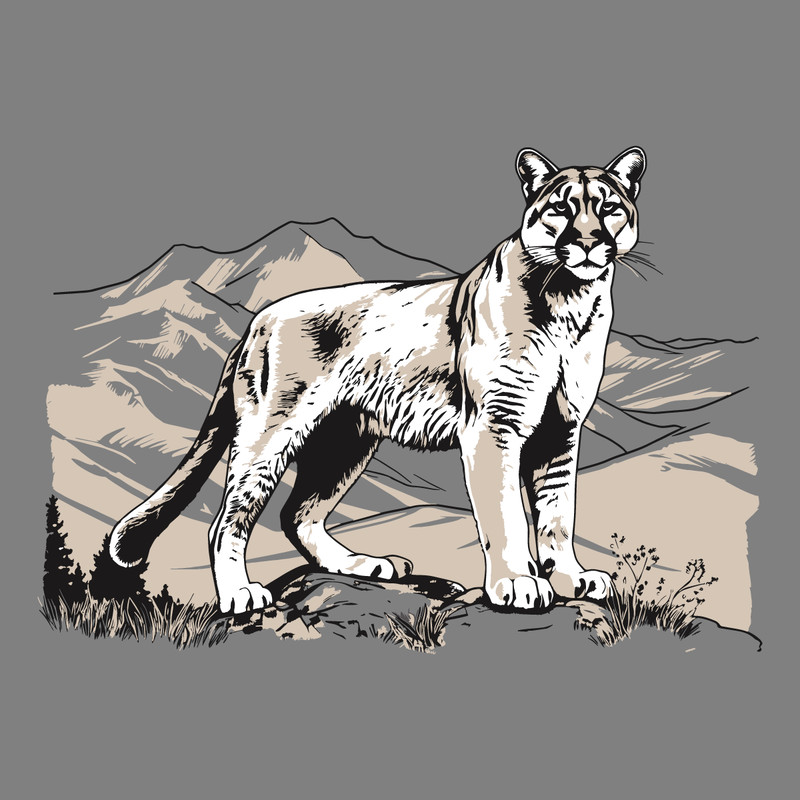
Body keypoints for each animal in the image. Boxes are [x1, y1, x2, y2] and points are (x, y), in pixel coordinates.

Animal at [110, 146, 646, 614]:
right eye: (561, 208)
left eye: (609, 208)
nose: (588, 242)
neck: (571, 302)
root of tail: (259, 318)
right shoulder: (495, 425)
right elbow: (506, 514)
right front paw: (516, 583)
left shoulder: (560, 429)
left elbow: (558, 512)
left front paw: (570, 578)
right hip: (270, 434)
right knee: (227, 521)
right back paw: (241, 594)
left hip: (345, 441)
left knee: (298, 513)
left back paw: (363, 565)